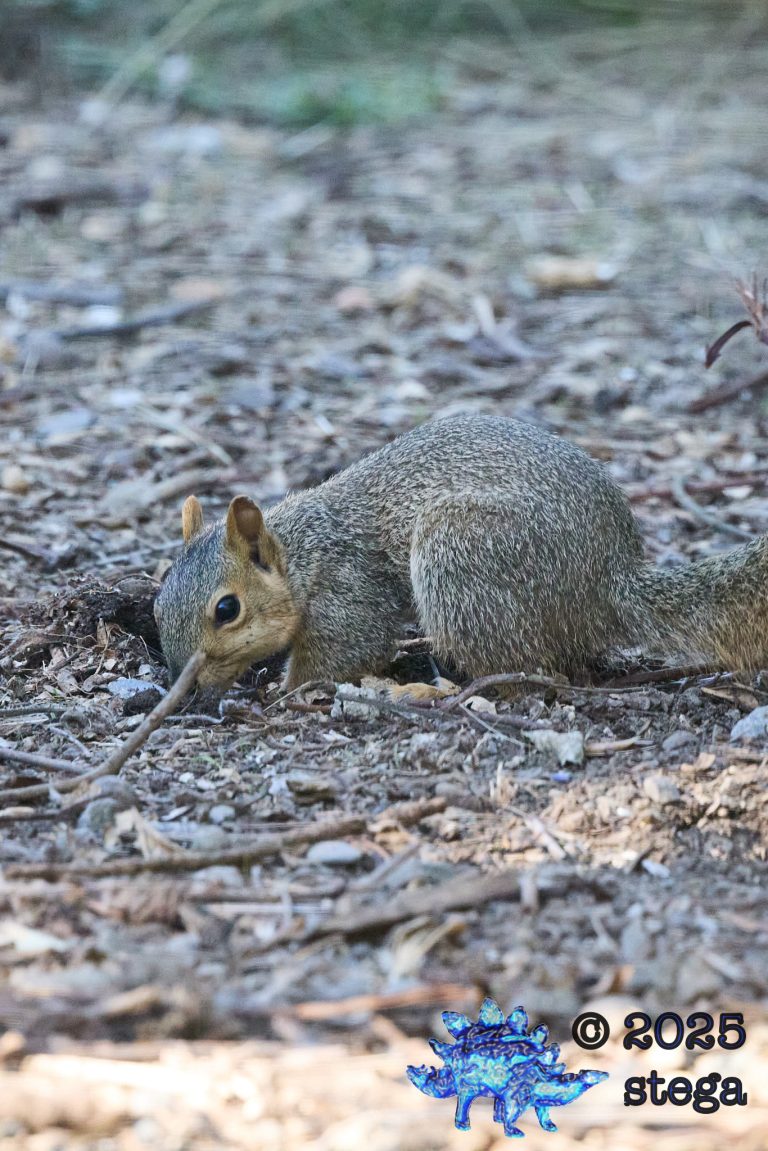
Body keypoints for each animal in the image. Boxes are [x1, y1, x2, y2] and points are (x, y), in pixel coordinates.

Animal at [154, 413, 768, 692]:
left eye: (227, 610)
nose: (184, 682)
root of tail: (610, 581)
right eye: (158, 605)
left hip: (461, 550)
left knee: (533, 667)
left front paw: (285, 691)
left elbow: (347, 651)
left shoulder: (349, 592)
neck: (302, 552)